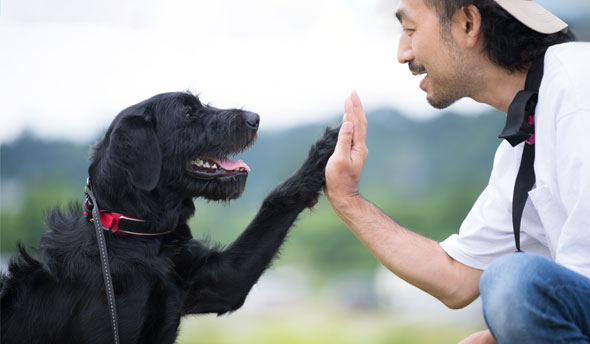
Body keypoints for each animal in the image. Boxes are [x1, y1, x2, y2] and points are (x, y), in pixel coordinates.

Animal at [0, 91, 340, 344]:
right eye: (188, 114)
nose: (254, 119)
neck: (137, 236)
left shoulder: (222, 281)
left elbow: (276, 201)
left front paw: (325, 151)